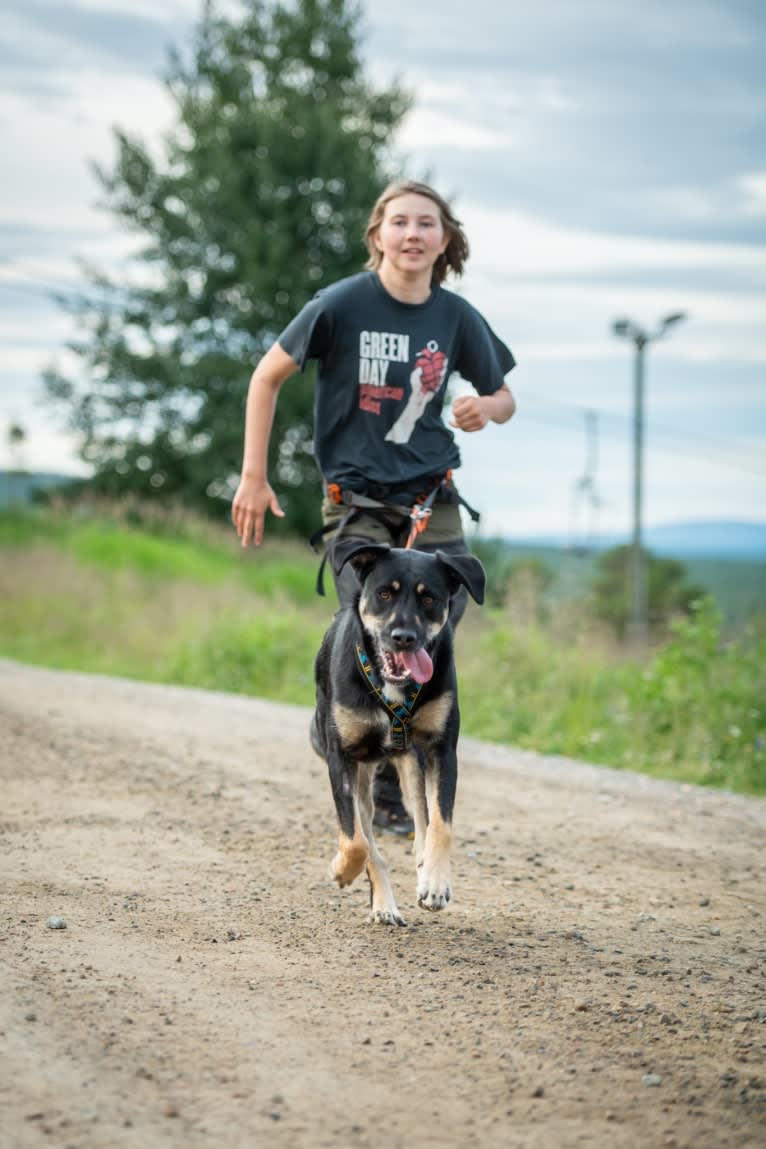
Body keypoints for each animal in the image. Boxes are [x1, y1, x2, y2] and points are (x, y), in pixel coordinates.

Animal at [310, 537, 484, 923]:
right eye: (384, 594)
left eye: (430, 598)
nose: (403, 637)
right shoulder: (341, 758)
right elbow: (356, 841)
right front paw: (341, 870)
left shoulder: (441, 751)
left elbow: (441, 825)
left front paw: (436, 883)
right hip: (362, 778)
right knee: (369, 840)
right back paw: (383, 905)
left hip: (410, 763)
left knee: (421, 819)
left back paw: (422, 872)